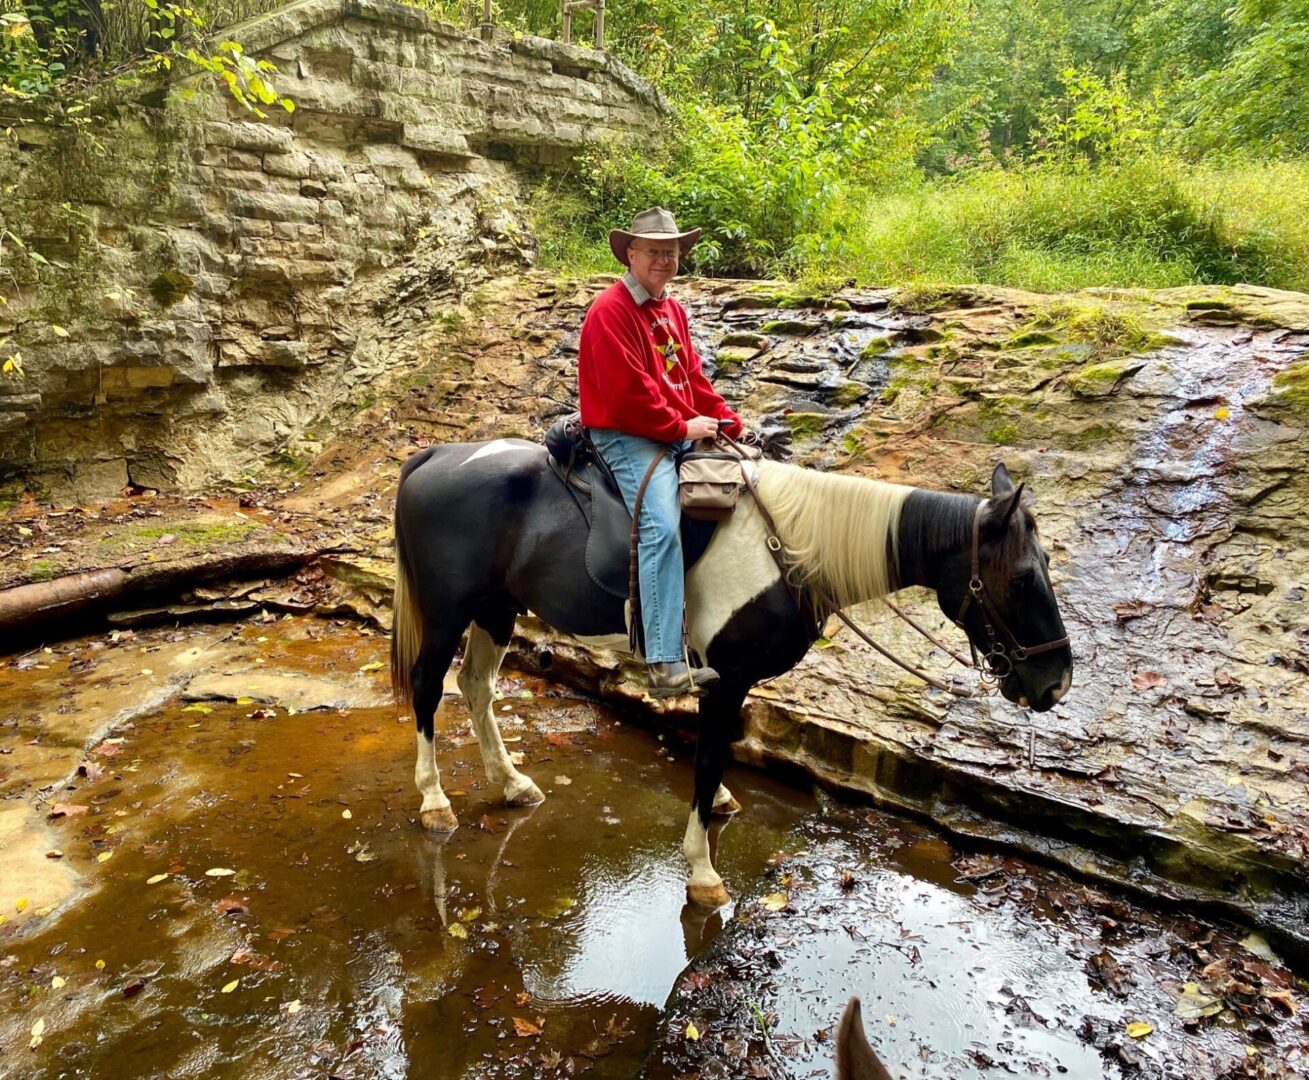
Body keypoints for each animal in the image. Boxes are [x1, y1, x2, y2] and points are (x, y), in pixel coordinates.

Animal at [387, 437, 1073, 900]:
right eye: (1020, 578)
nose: (1055, 683)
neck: (793, 546)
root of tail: (436, 457)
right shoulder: (728, 678)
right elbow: (710, 754)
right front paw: (702, 871)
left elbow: (714, 752)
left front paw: (715, 809)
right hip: (447, 612)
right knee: (429, 688)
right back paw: (435, 801)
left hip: (497, 608)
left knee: (476, 688)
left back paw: (511, 784)